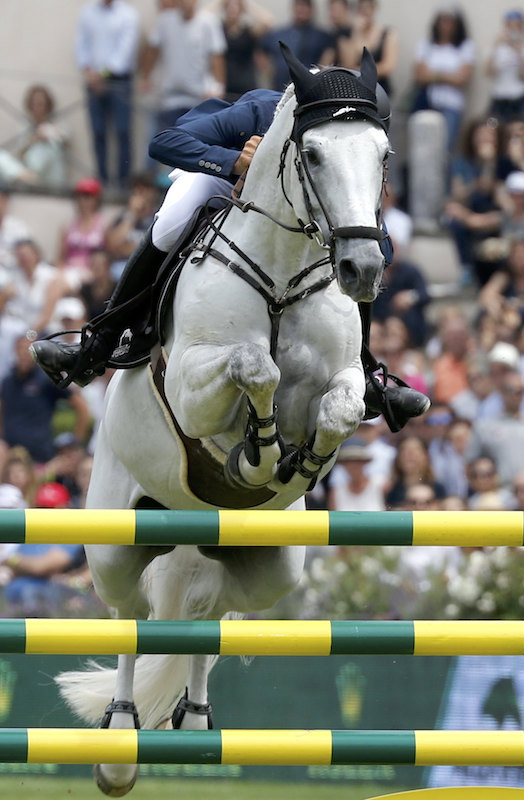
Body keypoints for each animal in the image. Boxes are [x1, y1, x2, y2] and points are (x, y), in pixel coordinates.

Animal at [59, 48, 390, 792]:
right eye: (313, 154)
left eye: (384, 154)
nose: (361, 267)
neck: (285, 275)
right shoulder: (190, 383)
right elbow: (254, 367)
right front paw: (258, 453)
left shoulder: (345, 380)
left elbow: (342, 406)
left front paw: (299, 461)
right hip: (115, 541)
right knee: (131, 620)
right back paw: (119, 742)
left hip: (273, 570)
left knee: (207, 614)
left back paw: (195, 717)